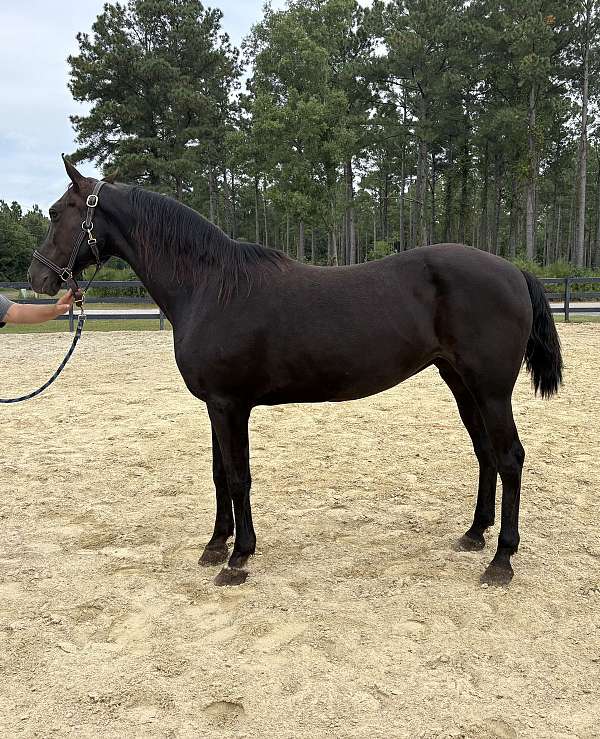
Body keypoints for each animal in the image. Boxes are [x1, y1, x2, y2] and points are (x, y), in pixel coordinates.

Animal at [28, 157, 563, 586]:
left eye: (56, 212)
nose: (38, 279)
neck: (210, 286)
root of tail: (514, 272)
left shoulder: (230, 405)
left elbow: (239, 477)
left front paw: (238, 558)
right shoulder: (215, 406)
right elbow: (219, 474)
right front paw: (215, 546)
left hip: (491, 390)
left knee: (509, 457)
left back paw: (501, 561)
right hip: (461, 383)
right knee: (485, 453)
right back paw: (474, 535)